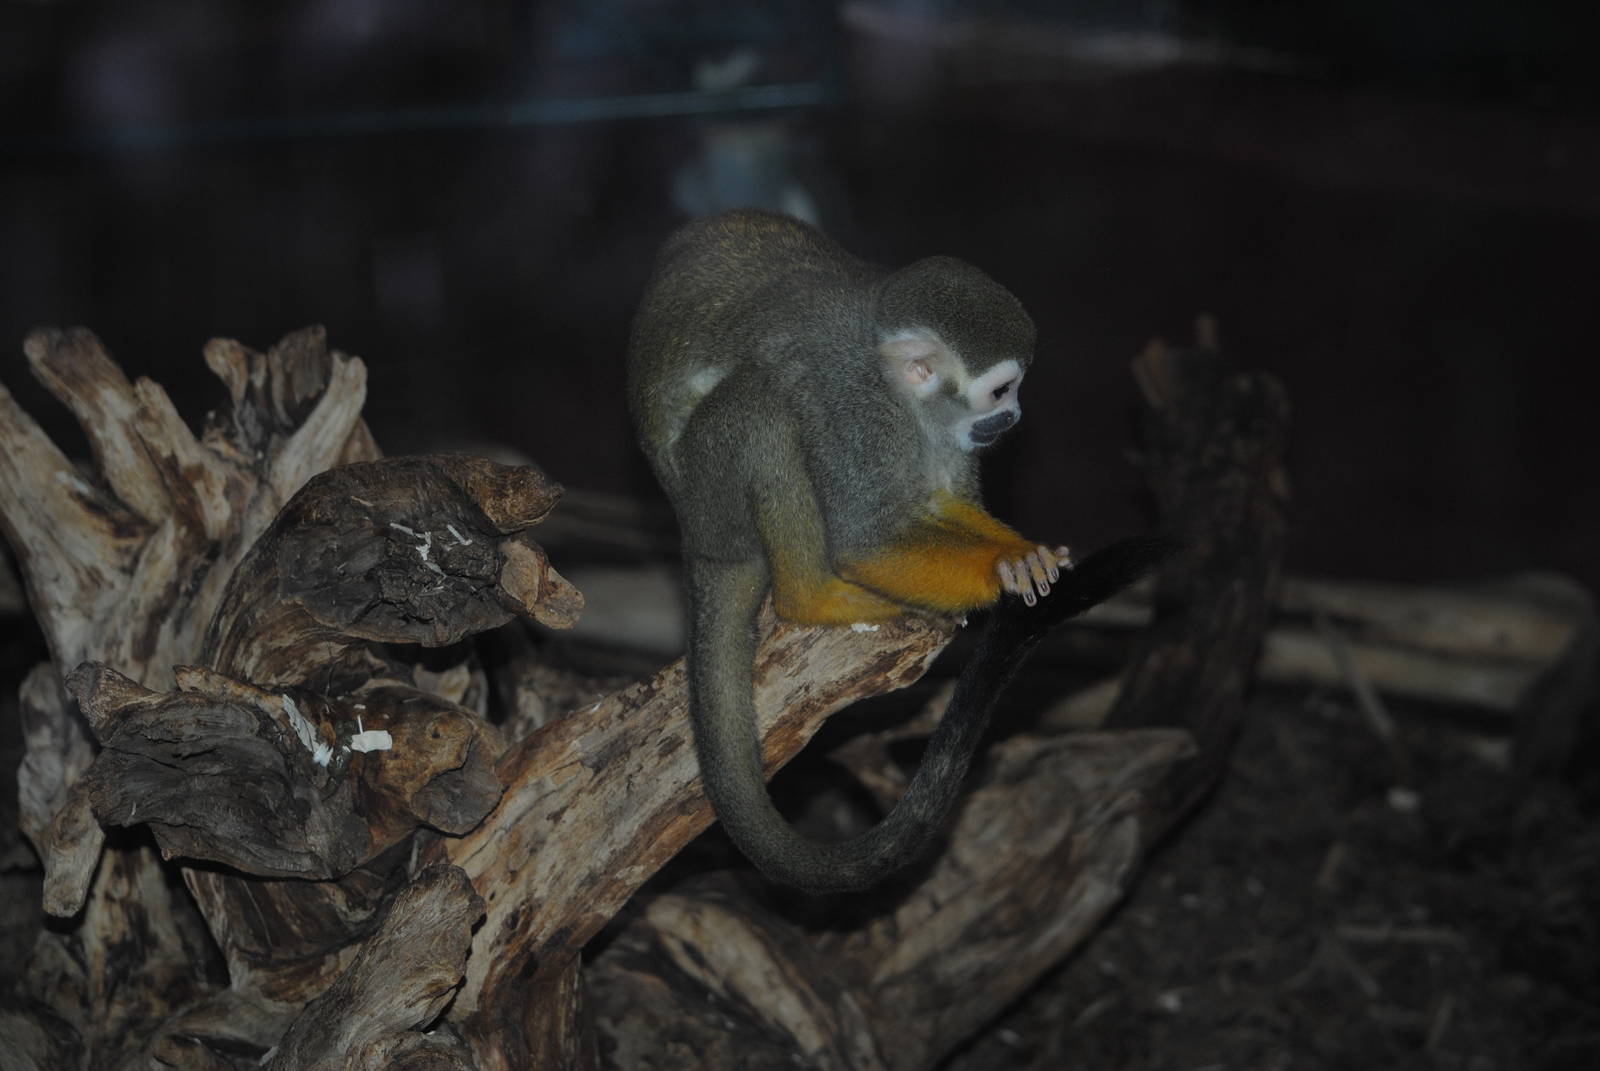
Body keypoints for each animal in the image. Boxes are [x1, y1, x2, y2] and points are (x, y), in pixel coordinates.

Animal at [627, 209, 1167, 893]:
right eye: (1002, 392)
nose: (1014, 418)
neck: (894, 385)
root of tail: (698, 544)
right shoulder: (855, 409)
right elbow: (867, 539)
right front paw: (1003, 572)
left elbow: (933, 500)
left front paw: (1024, 553)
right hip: (714, 497)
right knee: (766, 406)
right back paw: (813, 598)